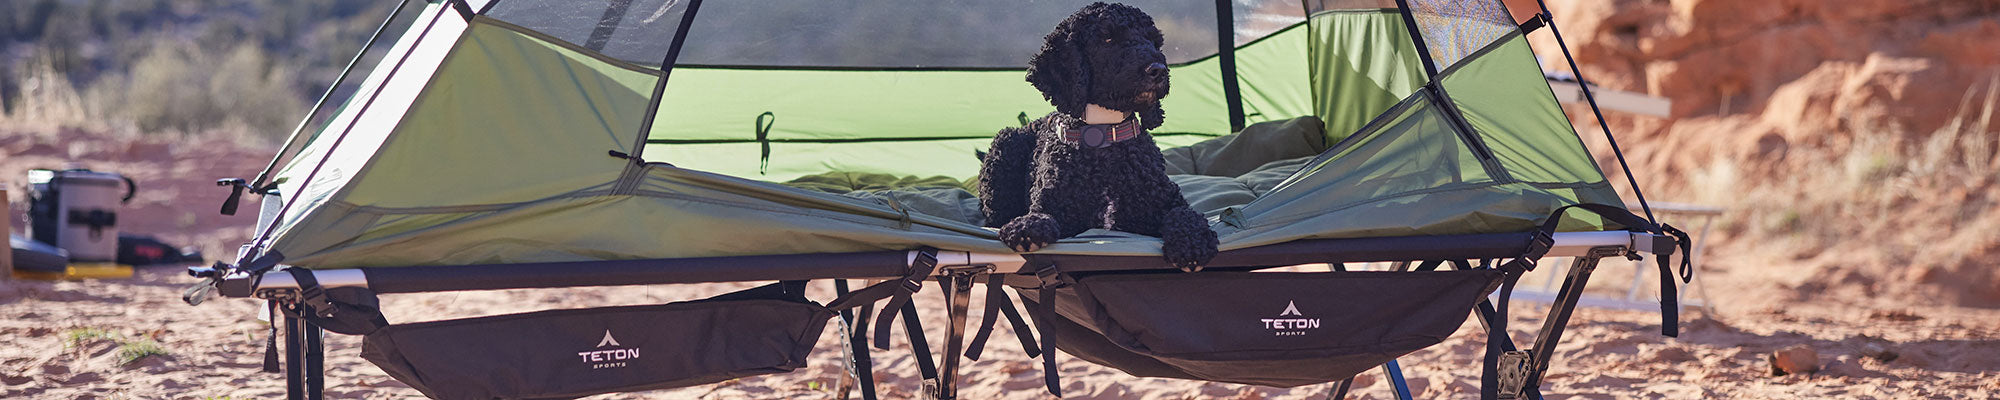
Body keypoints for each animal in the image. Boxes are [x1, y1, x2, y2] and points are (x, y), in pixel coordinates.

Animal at [980, 1, 1216, 270]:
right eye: (1108, 38)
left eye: (1154, 41)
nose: (1158, 70)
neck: (1104, 134)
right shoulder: (1055, 204)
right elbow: (1042, 214)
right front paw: (1028, 226)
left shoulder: (1168, 200)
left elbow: (1185, 214)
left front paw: (1192, 241)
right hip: (1004, 145)